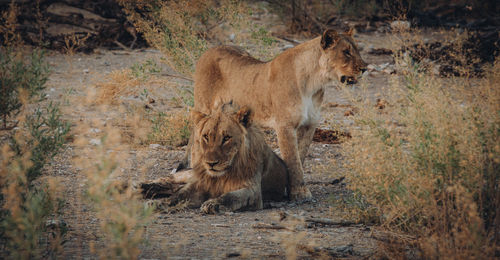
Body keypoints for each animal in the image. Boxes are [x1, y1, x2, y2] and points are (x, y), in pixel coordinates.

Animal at [182, 28, 370, 200]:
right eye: (346, 52)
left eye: (357, 50)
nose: (364, 68)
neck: (314, 82)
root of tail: (209, 50)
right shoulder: (284, 125)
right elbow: (292, 160)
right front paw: (300, 193)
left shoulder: (310, 124)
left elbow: (300, 156)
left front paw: (292, 189)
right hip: (204, 108)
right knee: (196, 139)